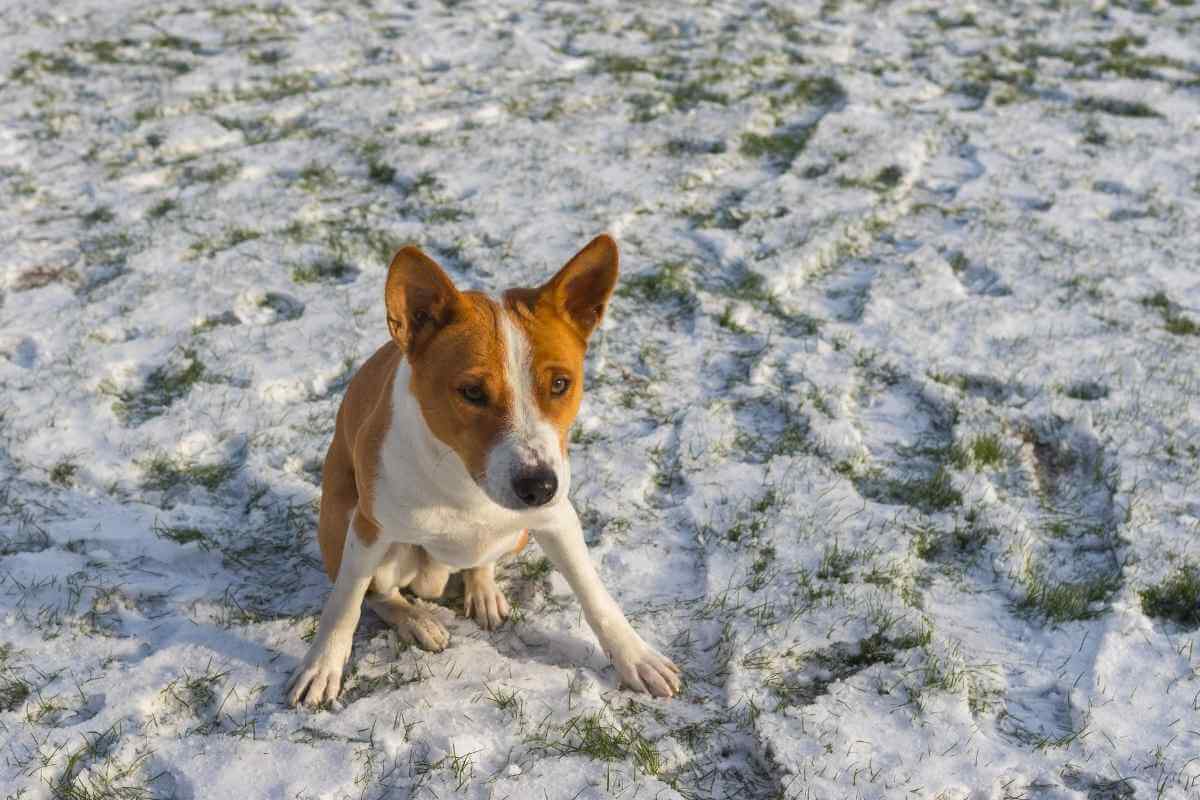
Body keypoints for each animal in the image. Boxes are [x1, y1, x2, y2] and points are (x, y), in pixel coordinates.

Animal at [289, 232, 681, 705]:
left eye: (560, 384)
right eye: (472, 391)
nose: (539, 486)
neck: (465, 484)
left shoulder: (557, 518)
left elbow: (596, 596)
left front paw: (636, 657)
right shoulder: (368, 528)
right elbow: (345, 603)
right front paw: (322, 665)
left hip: (519, 535)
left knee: (481, 560)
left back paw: (483, 589)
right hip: (350, 525)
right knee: (380, 593)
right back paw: (417, 619)